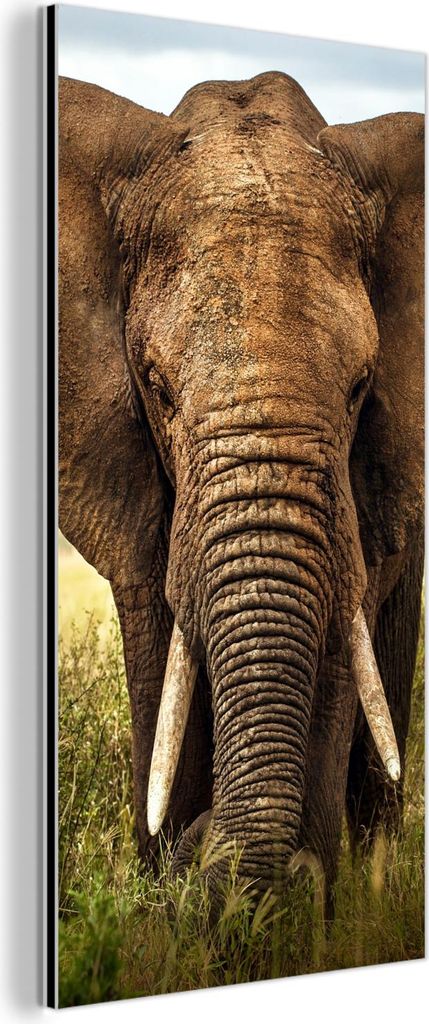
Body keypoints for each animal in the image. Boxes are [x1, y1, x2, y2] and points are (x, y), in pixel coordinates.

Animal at [58, 70, 424, 917]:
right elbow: (160, 641)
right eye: (156, 387)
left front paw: (295, 913)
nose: (200, 845)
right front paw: (168, 898)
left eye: (360, 387)